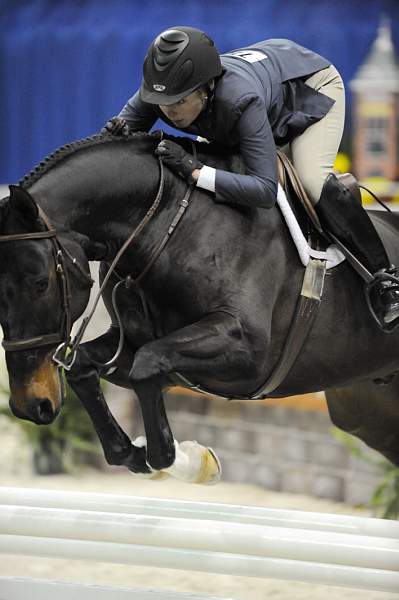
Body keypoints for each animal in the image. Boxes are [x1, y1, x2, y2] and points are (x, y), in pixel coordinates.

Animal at [0, 132, 399, 482]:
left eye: (40, 283)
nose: (31, 405)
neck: (164, 224)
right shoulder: (134, 344)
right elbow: (87, 366)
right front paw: (135, 454)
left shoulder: (247, 351)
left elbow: (147, 367)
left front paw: (182, 460)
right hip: (366, 412)